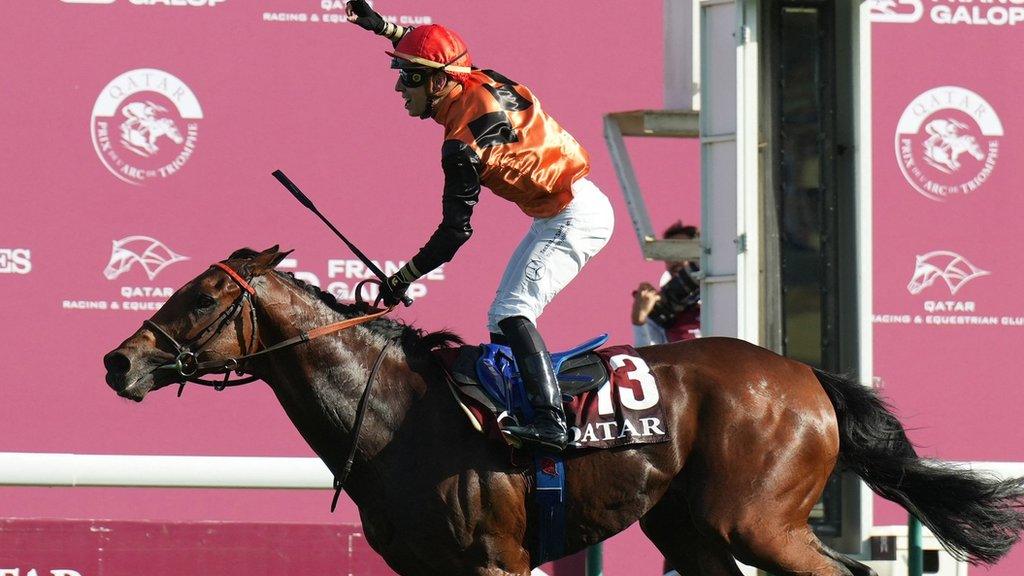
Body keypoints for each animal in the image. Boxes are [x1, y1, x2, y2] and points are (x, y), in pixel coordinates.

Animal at [101, 243, 1024, 569]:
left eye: (201, 297)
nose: (119, 360)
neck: (394, 416)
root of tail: (804, 376)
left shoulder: (496, 562)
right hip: (690, 531)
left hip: (754, 520)